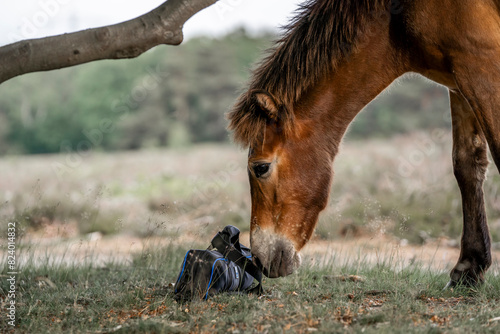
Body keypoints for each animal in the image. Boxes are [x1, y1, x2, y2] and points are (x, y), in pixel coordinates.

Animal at [229, 0, 498, 288]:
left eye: (260, 167)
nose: (258, 259)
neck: (397, 18)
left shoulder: (480, 66)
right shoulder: (459, 82)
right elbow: (467, 164)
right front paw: (468, 269)